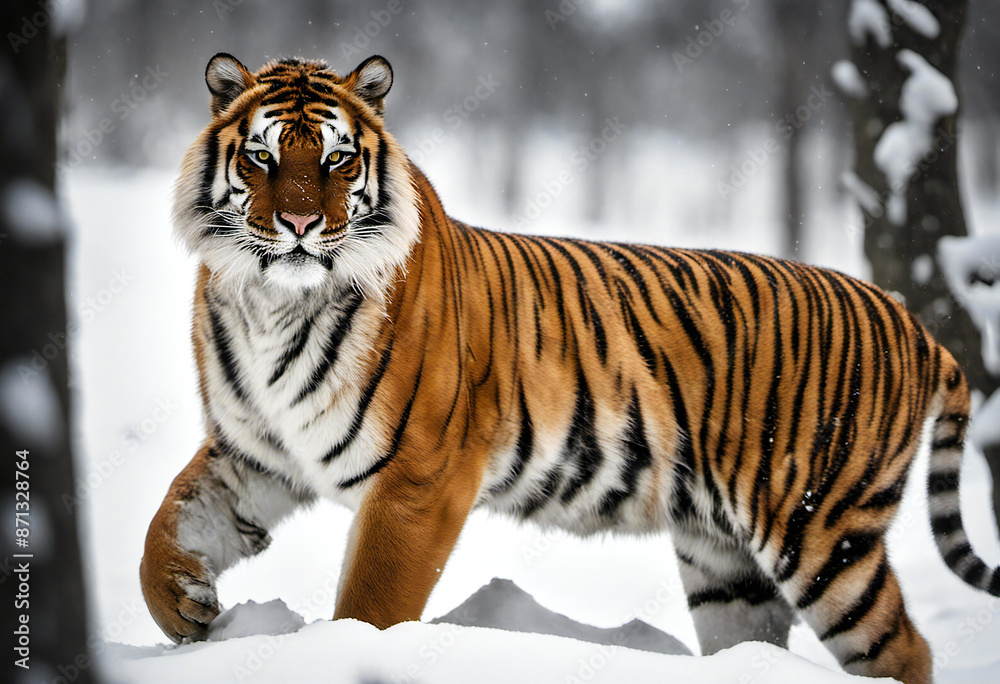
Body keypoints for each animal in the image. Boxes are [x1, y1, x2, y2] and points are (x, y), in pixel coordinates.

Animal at [139, 52, 1000, 684]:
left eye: (339, 161)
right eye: (260, 157)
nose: (298, 223)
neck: (272, 302)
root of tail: (914, 323)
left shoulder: (419, 480)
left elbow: (371, 604)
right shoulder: (253, 451)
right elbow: (169, 523)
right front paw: (185, 607)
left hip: (824, 534)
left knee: (904, 652)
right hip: (725, 562)